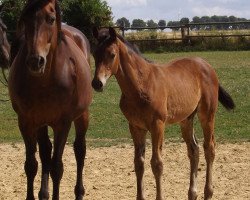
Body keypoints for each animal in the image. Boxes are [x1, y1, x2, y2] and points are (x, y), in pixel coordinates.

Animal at [9, 0, 93, 199]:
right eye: (25, 18)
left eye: (51, 18)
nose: (35, 61)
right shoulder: (27, 122)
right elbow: (31, 165)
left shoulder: (63, 124)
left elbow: (57, 168)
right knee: (46, 151)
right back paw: (43, 193)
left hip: (82, 115)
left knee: (80, 150)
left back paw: (79, 192)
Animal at [92, 27, 234, 199]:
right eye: (94, 53)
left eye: (112, 54)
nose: (97, 83)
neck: (141, 84)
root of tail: (207, 65)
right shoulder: (135, 126)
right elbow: (138, 163)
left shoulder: (157, 125)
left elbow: (157, 164)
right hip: (186, 119)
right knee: (194, 150)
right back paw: (192, 193)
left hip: (207, 114)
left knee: (209, 148)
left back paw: (208, 192)